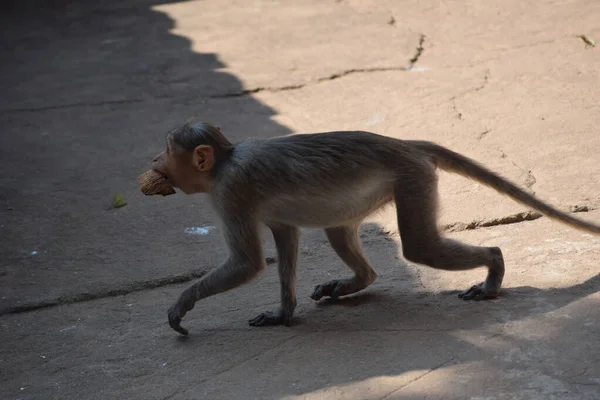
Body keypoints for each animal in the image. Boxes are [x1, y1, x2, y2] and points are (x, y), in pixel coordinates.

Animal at [149, 121, 600, 334]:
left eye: (168, 150)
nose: (154, 159)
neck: (225, 160)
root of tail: (404, 143)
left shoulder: (230, 192)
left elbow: (248, 263)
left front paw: (182, 303)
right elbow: (286, 236)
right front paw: (283, 312)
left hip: (412, 177)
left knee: (419, 248)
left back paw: (493, 266)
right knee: (340, 230)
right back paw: (358, 280)